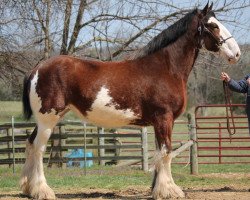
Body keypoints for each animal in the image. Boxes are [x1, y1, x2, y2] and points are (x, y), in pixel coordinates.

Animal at [21, 3, 240, 200]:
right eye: (213, 25)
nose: (237, 54)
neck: (166, 68)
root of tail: (37, 69)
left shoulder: (159, 122)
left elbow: (159, 153)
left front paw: (157, 189)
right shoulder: (164, 118)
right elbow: (166, 152)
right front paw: (169, 190)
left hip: (45, 119)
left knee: (30, 144)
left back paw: (28, 189)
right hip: (48, 119)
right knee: (39, 149)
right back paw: (43, 191)